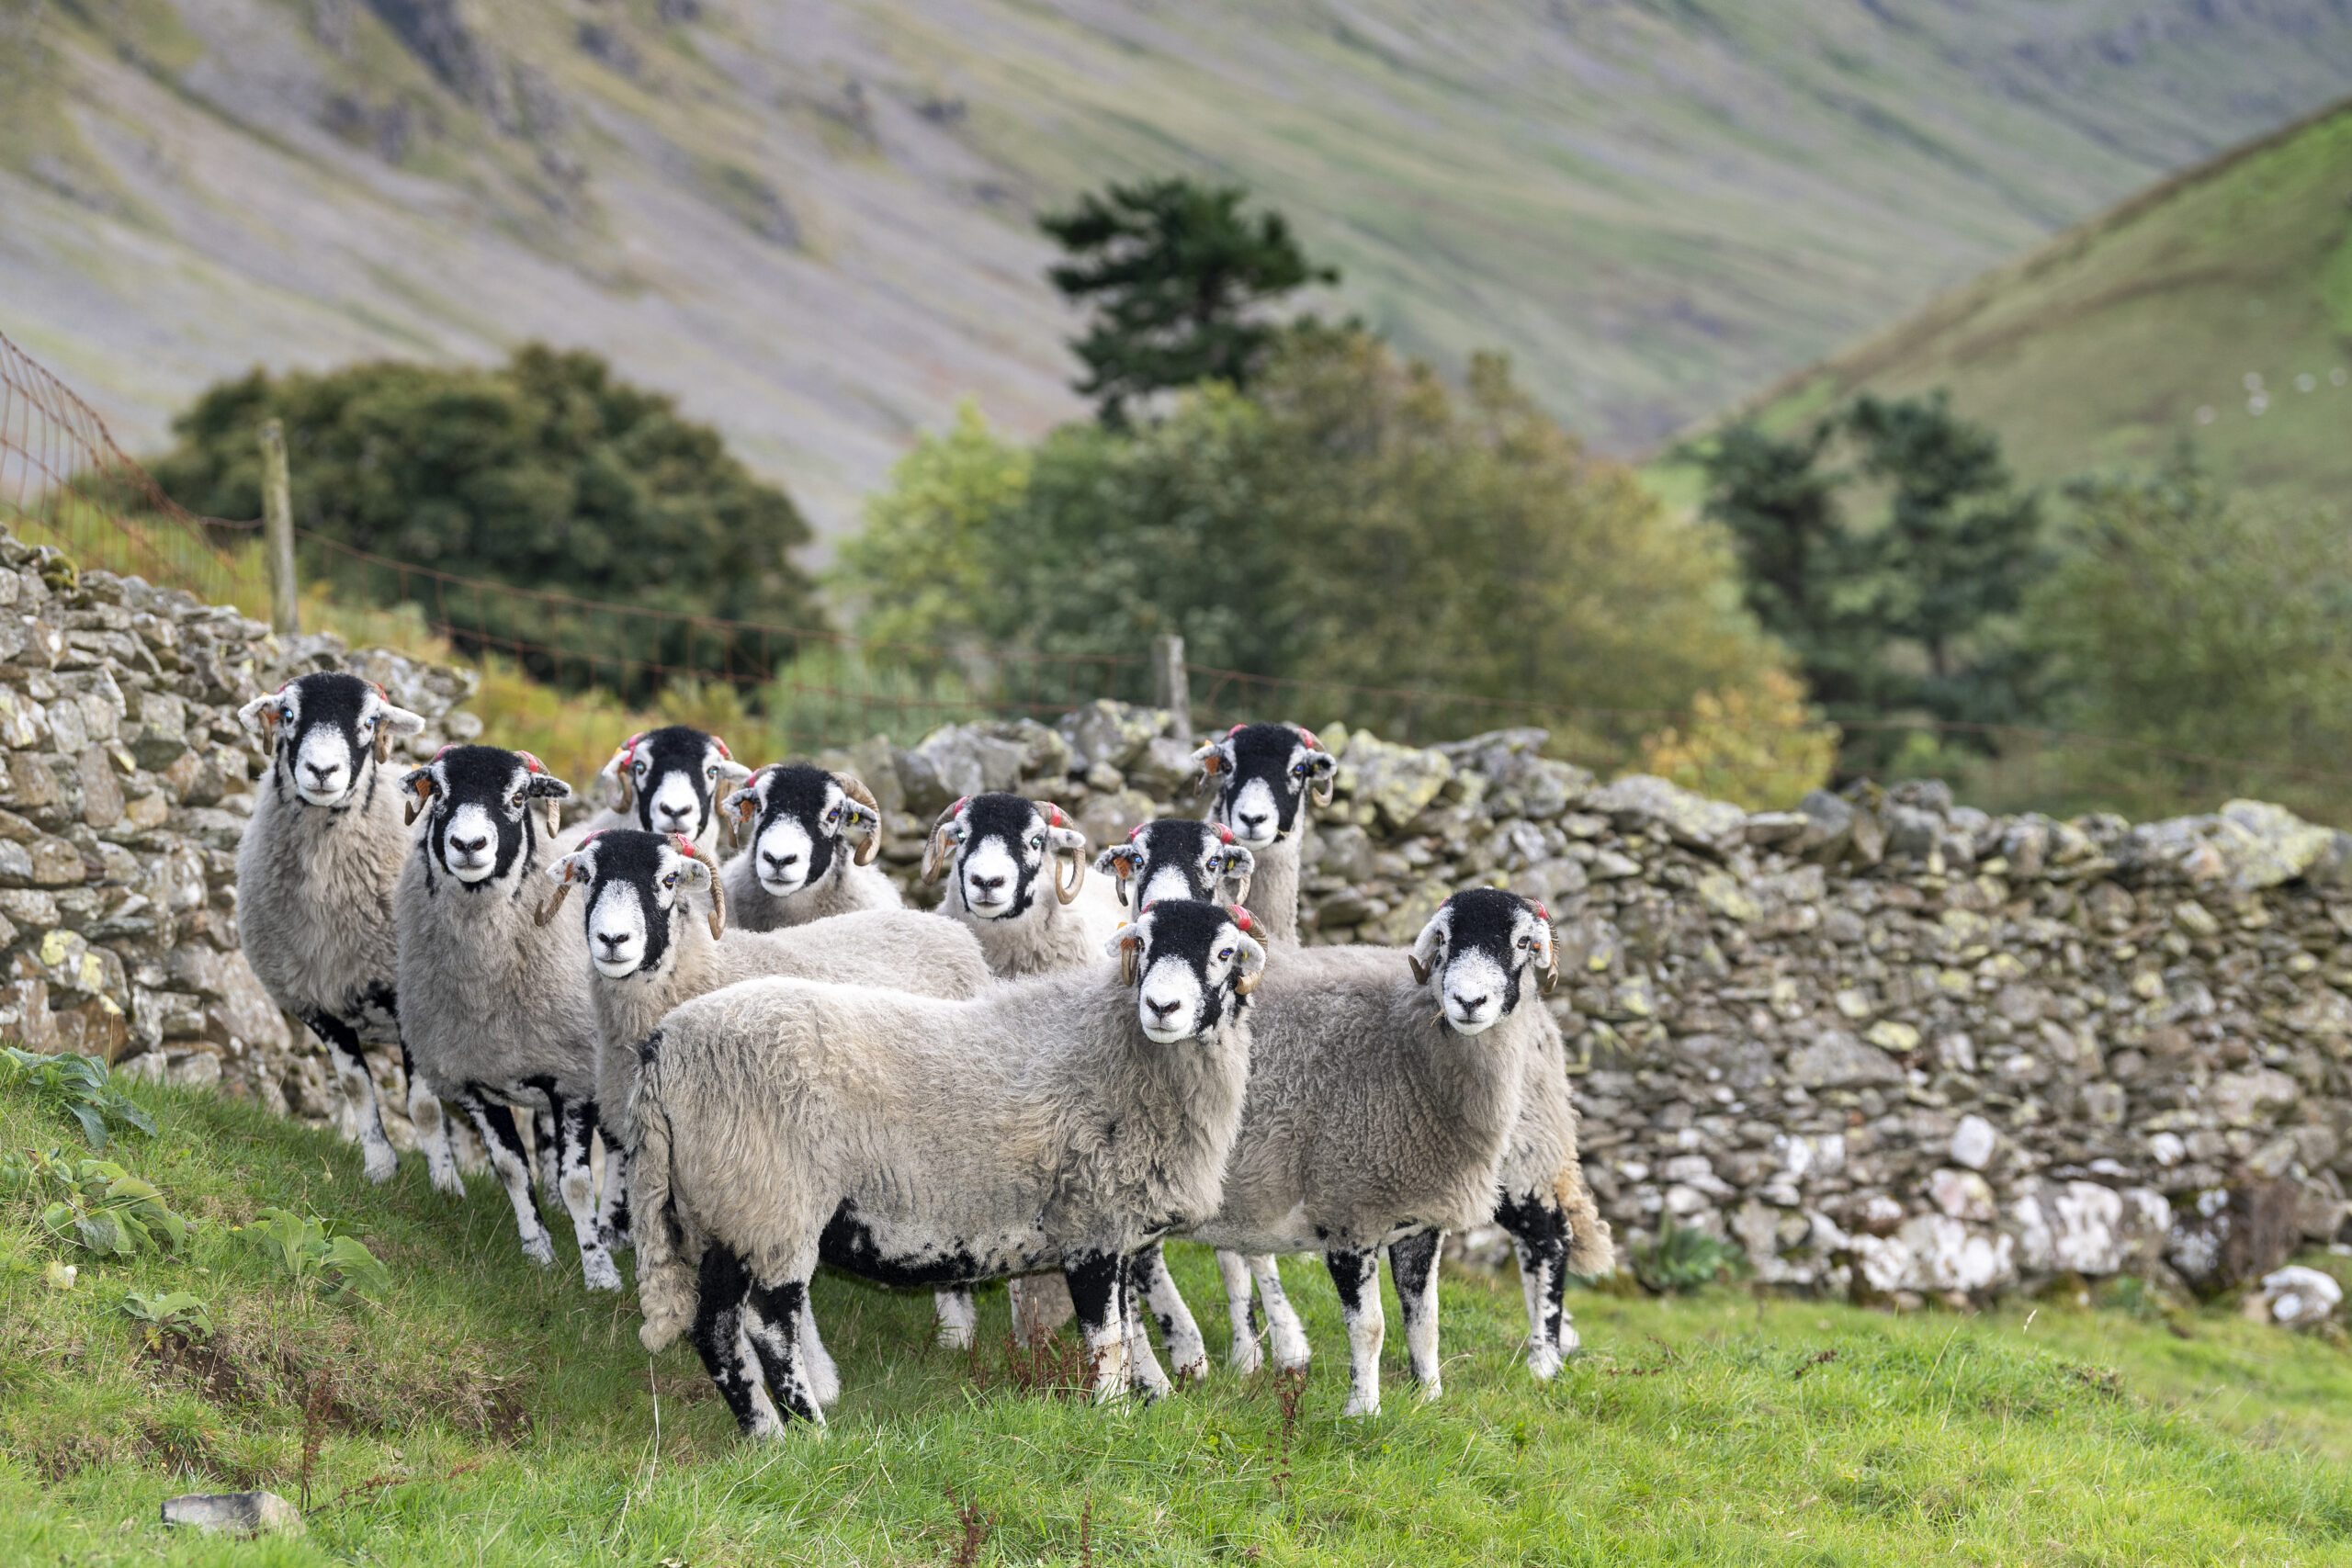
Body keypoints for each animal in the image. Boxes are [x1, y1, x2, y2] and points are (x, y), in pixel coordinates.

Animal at [234, 672, 459, 1193]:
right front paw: (380, 1166)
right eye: (288, 714)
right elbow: (357, 1088)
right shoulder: (318, 1003)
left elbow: (422, 1106)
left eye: (370, 721)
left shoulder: (409, 1002)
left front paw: (446, 1184)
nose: (322, 770)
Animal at [393, 744, 621, 1289]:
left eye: (519, 798)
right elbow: (512, 1168)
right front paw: (538, 1249)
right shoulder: (471, 1084)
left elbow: (578, 1180)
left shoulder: (575, 1080)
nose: (468, 844)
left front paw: (598, 1269)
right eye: (438, 791)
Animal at [627, 898, 1267, 1433]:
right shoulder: (1092, 1221)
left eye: (1224, 952)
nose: (1162, 1007)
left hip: (726, 1207)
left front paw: (1155, 1398)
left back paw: (764, 1434)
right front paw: (1111, 1415)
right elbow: (1108, 1334)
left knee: (715, 1326)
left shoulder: (1120, 1227)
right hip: (772, 1200)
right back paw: (812, 1433)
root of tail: (666, 1044)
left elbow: (1130, 1327)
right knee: (766, 1325)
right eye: (1145, 944)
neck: (1116, 1046)